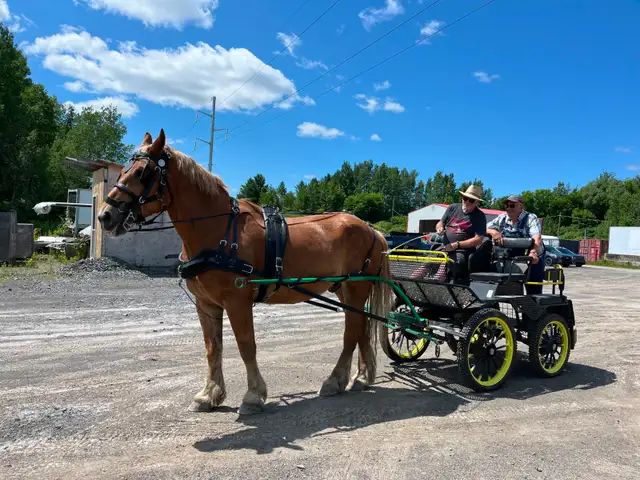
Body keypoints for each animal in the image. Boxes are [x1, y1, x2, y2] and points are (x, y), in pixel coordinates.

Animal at [97, 129, 394, 415]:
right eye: (123, 170)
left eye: (143, 173)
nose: (105, 216)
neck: (218, 231)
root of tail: (372, 230)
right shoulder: (206, 304)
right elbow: (212, 348)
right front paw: (209, 395)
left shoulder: (237, 301)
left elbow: (245, 345)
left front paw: (253, 396)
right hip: (345, 290)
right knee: (361, 328)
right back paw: (361, 378)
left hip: (356, 288)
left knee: (351, 333)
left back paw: (335, 380)